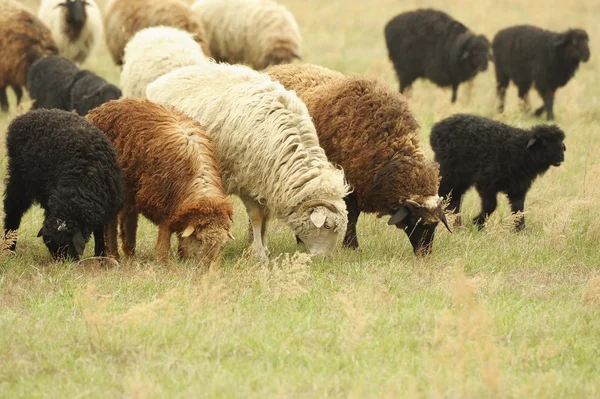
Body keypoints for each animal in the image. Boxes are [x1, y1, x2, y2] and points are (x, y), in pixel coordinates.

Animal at [1, 109, 124, 260]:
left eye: (67, 246)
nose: (65, 265)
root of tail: (24, 117)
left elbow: (99, 234)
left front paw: (101, 256)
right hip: (19, 180)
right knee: (12, 211)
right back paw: (9, 249)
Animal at [85, 97, 233, 268]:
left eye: (223, 245)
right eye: (200, 240)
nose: (208, 269)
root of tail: (103, 106)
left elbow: (182, 237)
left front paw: (183, 258)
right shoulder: (163, 205)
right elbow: (164, 238)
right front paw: (164, 263)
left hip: (130, 190)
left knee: (129, 218)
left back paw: (130, 255)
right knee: (111, 223)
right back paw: (113, 257)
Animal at [145, 61, 350, 260]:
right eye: (328, 226)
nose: (325, 259)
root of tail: (162, 80)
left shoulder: (267, 182)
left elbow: (266, 217)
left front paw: (265, 248)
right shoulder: (247, 180)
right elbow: (257, 217)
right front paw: (259, 254)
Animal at [268, 62, 450, 256]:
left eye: (435, 225)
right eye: (418, 223)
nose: (425, 254)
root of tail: (276, 68)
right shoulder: (348, 185)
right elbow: (351, 216)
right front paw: (351, 246)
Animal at [428, 114, 564, 231]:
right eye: (544, 142)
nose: (561, 155)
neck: (519, 150)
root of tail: (436, 129)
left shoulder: (518, 188)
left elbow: (519, 209)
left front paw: (521, 230)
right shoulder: (487, 183)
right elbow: (491, 206)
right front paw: (477, 224)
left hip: (461, 178)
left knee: (454, 198)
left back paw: (456, 224)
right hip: (449, 172)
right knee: (445, 193)